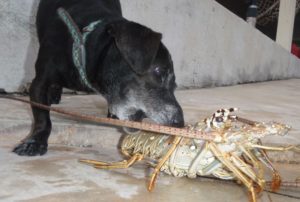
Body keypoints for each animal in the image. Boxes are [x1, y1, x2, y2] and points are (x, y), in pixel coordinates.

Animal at [14, 0, 185, 156]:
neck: (83, 47)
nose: (180, 123)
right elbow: (42, 117)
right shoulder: (39, 83)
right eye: (159, 71)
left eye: (175, 85)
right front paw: (35, 142)